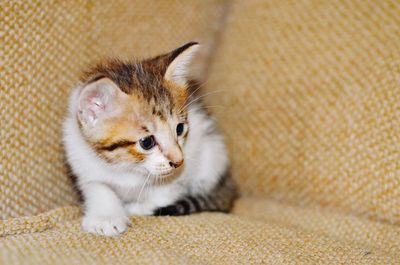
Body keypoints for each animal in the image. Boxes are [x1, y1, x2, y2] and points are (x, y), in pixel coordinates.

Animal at [62, 42, 238, 236]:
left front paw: (138, 208)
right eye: (147, 142)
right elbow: (98, 187)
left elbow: (166, 193)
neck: (127, 167)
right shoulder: (81, 161)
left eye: (179, 129)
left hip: (213, 155)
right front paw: (106, 218)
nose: (179, 161)